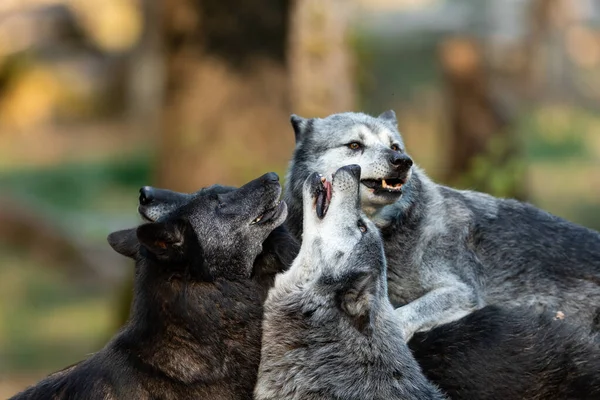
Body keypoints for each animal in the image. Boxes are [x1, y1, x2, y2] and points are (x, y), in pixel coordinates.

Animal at [284, 110, 600, 340]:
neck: (386, 232)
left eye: (394, 146)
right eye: (354, 145)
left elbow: (403, 314)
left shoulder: (463, 292)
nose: (402, 161)